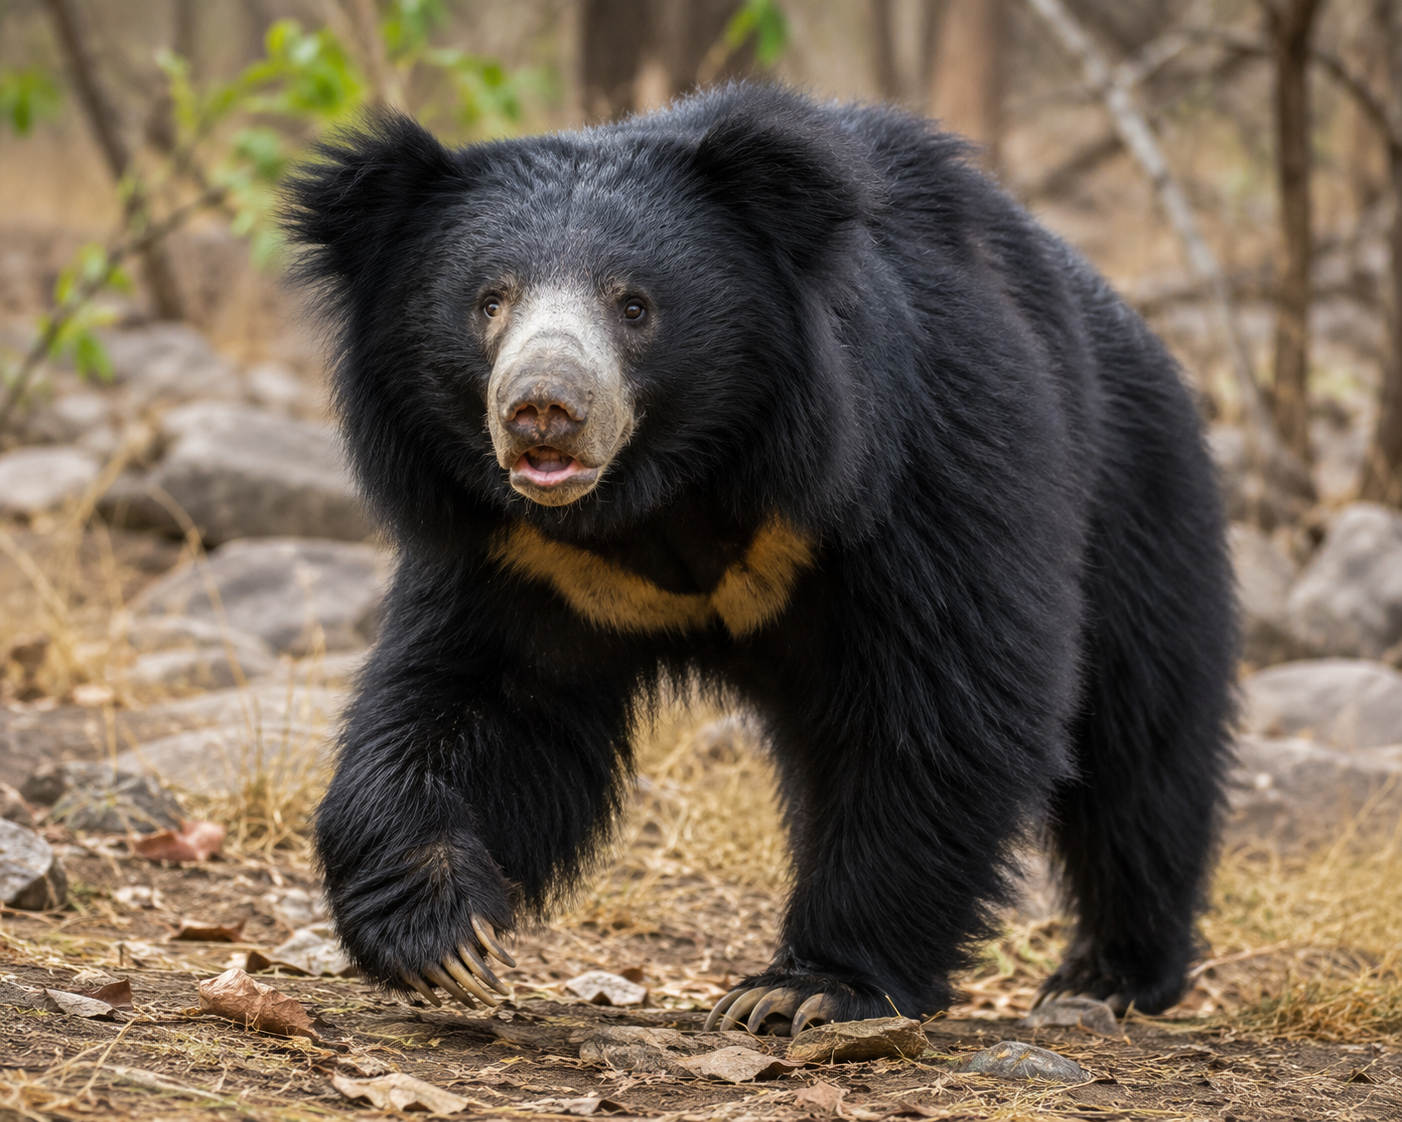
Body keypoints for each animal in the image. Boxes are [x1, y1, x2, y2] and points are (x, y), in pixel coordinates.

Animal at [283, 83, 1236, 1035]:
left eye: (635, 306)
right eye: (489, 301)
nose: (542, 408)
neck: (667, 492)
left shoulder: (919, 463)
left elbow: (943, 704)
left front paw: (809, 986)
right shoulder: (524, 553)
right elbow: (481, 702)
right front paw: (441, 934)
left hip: (1138, 501)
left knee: (1139, 750)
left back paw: (1107, 974)